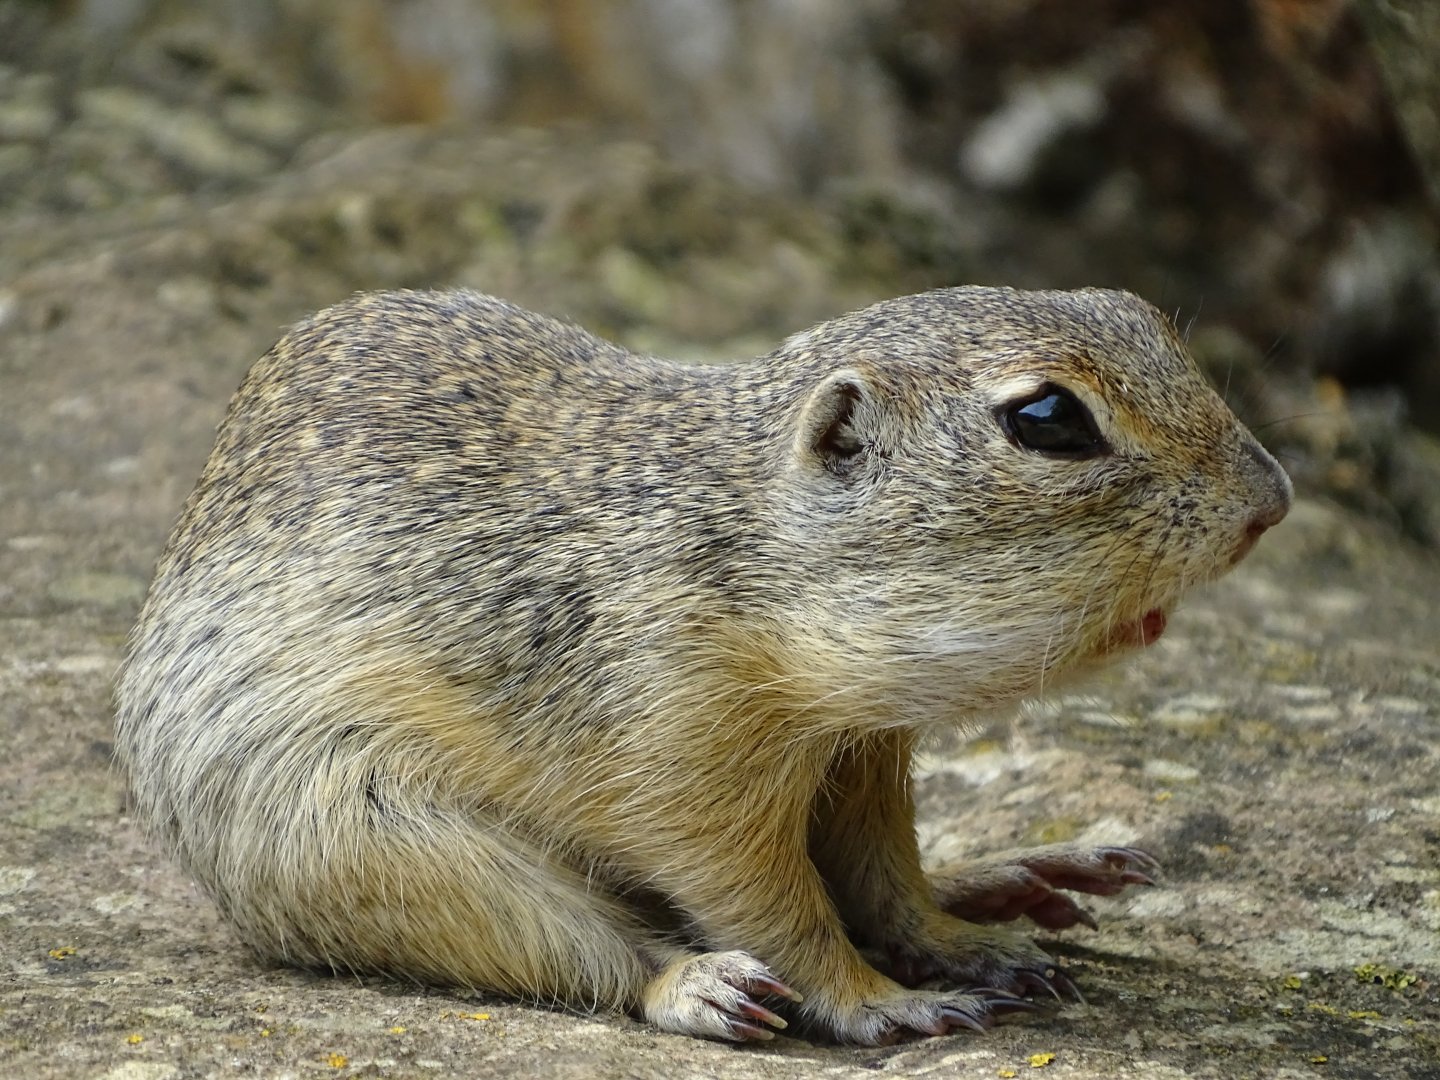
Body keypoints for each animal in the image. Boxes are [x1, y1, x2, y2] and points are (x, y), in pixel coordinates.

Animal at [114, 286, 1291, 1044]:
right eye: (1048, 418)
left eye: (1145, 315)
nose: (1273, 498)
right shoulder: (686, 763)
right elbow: (772, 904)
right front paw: (878, 999)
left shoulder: (863, 759)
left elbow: (887, 879)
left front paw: (952, 935)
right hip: (364, 839)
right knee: (591, 954)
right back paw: (696, 986)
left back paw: (1012, 879)